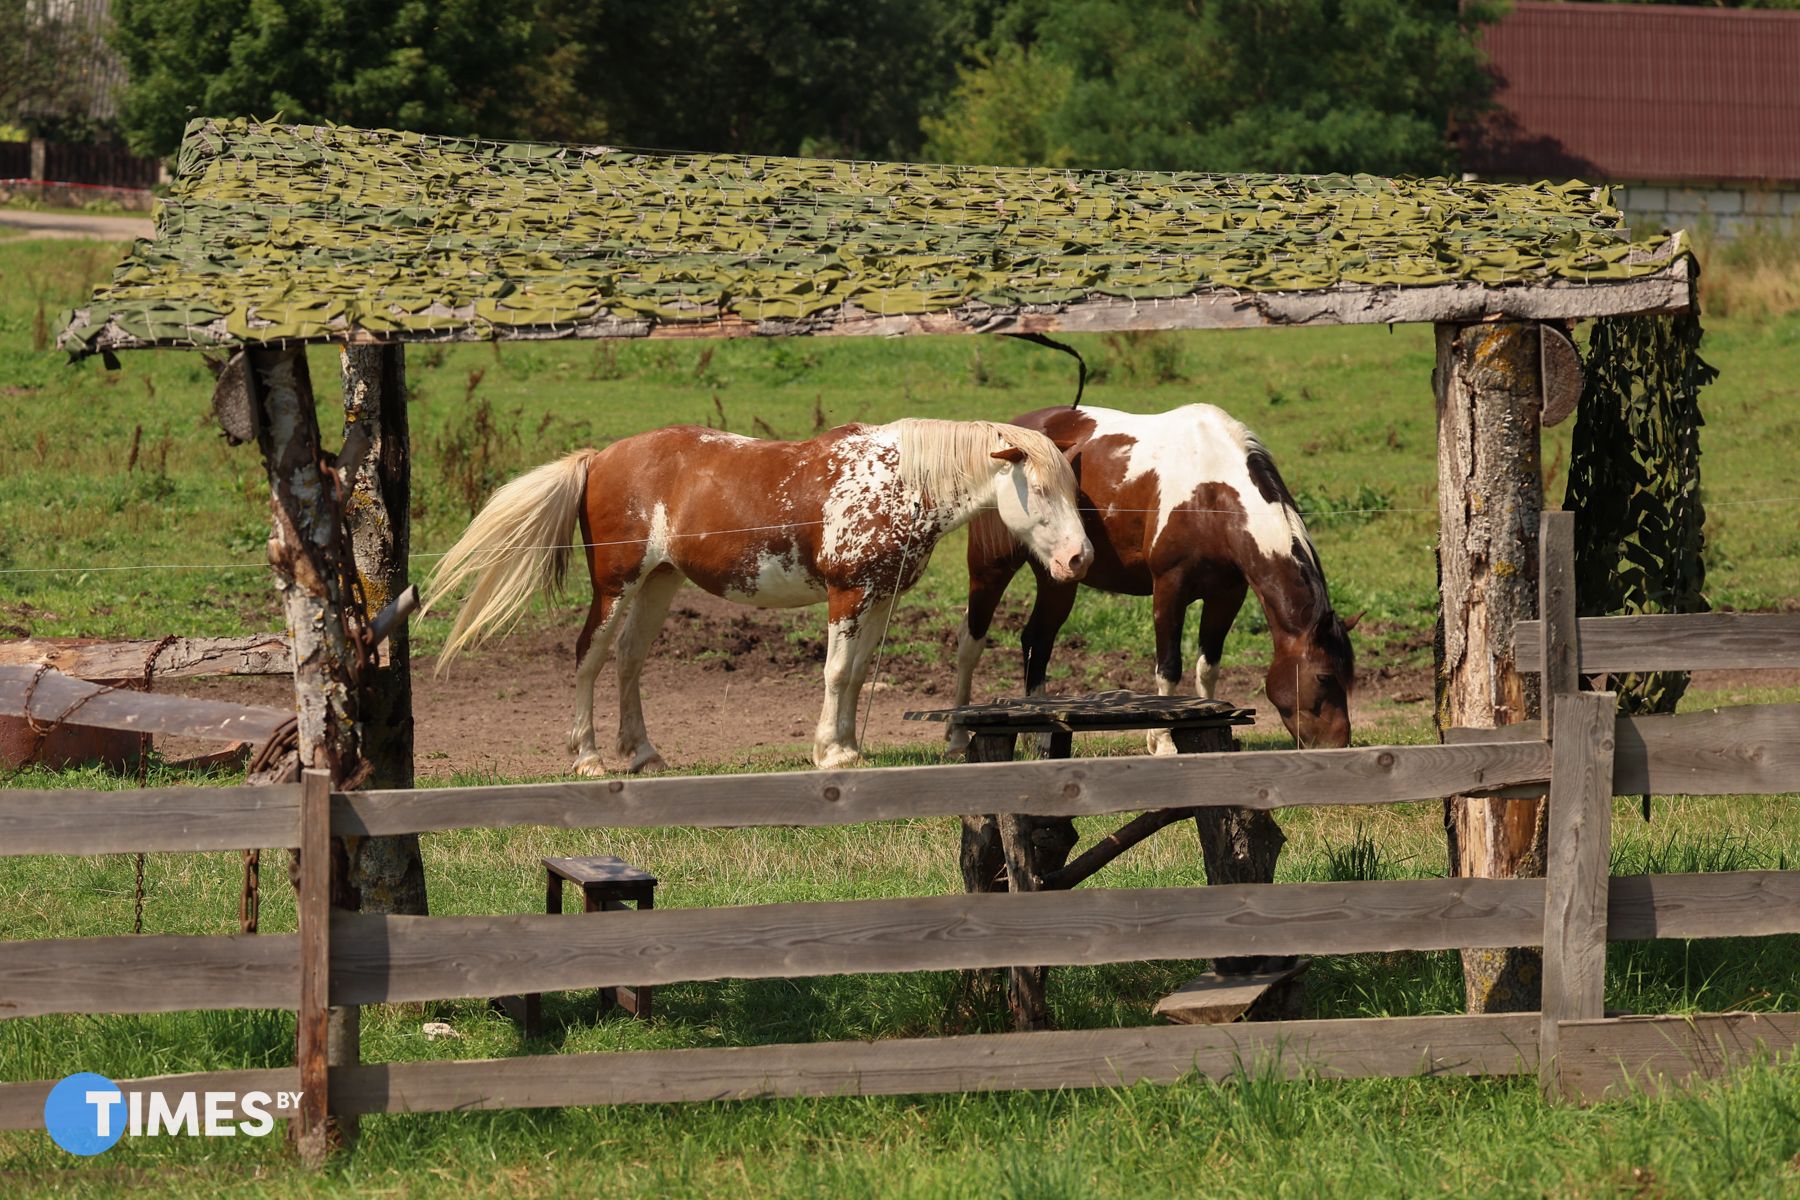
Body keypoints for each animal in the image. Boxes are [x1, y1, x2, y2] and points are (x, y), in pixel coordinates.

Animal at [427, 418, 1092, 775]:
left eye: (1071, 489)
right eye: (1038, 489)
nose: (1078, 559)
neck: (899, 480)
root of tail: (600, 457)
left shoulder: (879, 599)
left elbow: (855, 676)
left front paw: (849, 746)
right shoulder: (847, 596)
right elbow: (834, 673)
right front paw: (829, 753)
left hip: (659, 583)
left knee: (628, 661)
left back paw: (644, 755)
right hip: (616, 585)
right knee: (588, 656)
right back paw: (587, 757)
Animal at [949, 403, 1358, 756]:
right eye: (1324, 677)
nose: (1338, 745)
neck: (1211, 494)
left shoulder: (1228, 594)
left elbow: (1208, 666)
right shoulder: (1169, 587)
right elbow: (1169, 666)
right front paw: (1162, 741)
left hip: (1059, 575)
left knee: (1038, 640)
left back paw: (1038, 736)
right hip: (991, 567)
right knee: (971, 643)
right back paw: (956, 737)